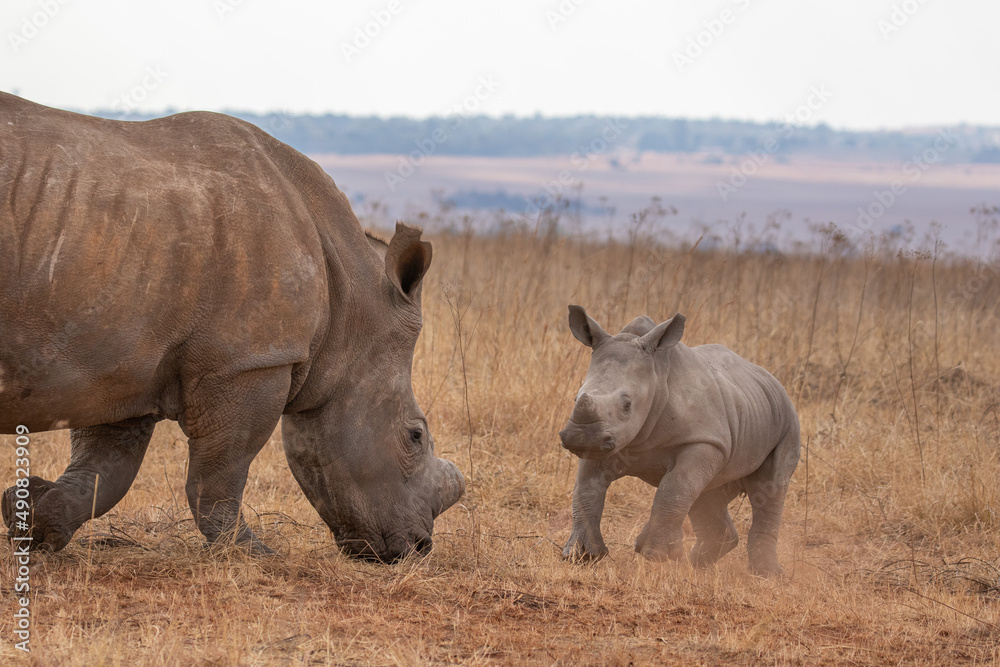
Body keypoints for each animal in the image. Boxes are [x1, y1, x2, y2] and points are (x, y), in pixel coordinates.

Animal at [0, 92, 464, 561]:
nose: (419, 548)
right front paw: (254, 554)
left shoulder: (118, 362)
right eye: (414, 436)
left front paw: (33, 520)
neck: (351, 312)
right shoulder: (248, 362)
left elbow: (105, 472)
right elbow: (221, 472)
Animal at [558, 306, 799, 575]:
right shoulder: (604, 442)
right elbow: (586, 490)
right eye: (577, 397)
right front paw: (581, 555)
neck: (657, 377)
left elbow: (674, 489)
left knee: (770, 488)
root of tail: (773, 380)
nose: (578, 438)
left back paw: (767, 575)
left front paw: (658, 555)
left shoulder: (704, 440)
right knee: (706, 495)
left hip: (787, 420)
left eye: (627, 405)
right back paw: (694, 567)